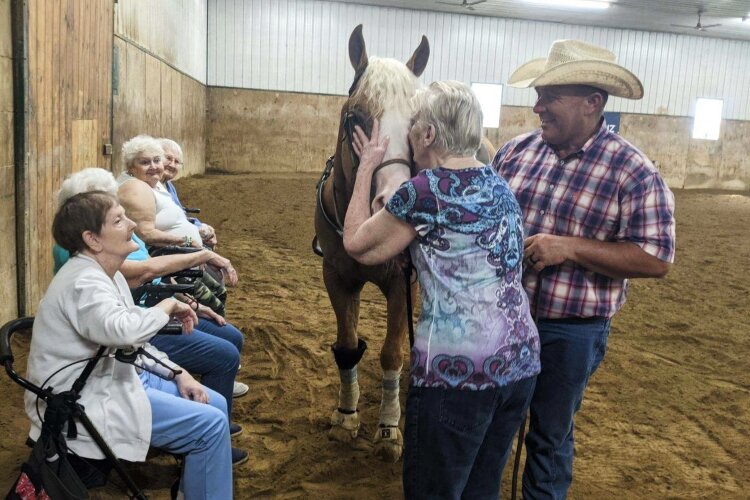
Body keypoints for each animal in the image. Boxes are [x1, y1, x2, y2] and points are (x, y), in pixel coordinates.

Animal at [312, 23, 428, 460]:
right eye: (356, 116)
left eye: (419, 122)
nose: (393, 202)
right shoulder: (337, 277)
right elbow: (347, 343)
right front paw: (347, 417)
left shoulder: (402, 281)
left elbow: (392, 352)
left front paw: (389, 428)